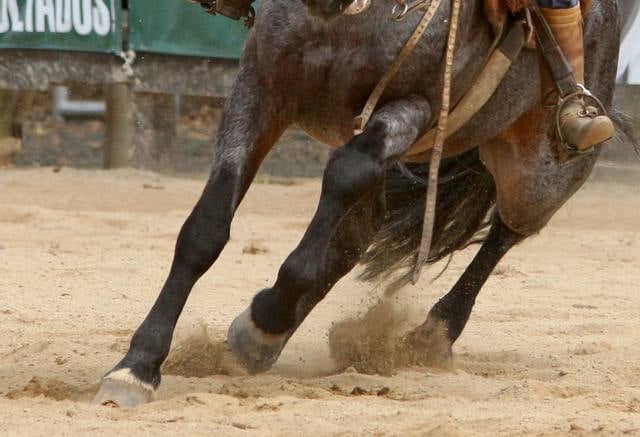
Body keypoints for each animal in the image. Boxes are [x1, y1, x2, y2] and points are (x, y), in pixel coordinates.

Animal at [91, 0, 632, 406]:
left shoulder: (416, 110)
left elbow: (344, 176)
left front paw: (270, 312)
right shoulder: (262, 85)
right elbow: (205, 230)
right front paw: (137, 366)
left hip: (541, 175)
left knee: (505, 231)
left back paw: (432, 332)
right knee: (354, 238)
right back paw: (261, 336)